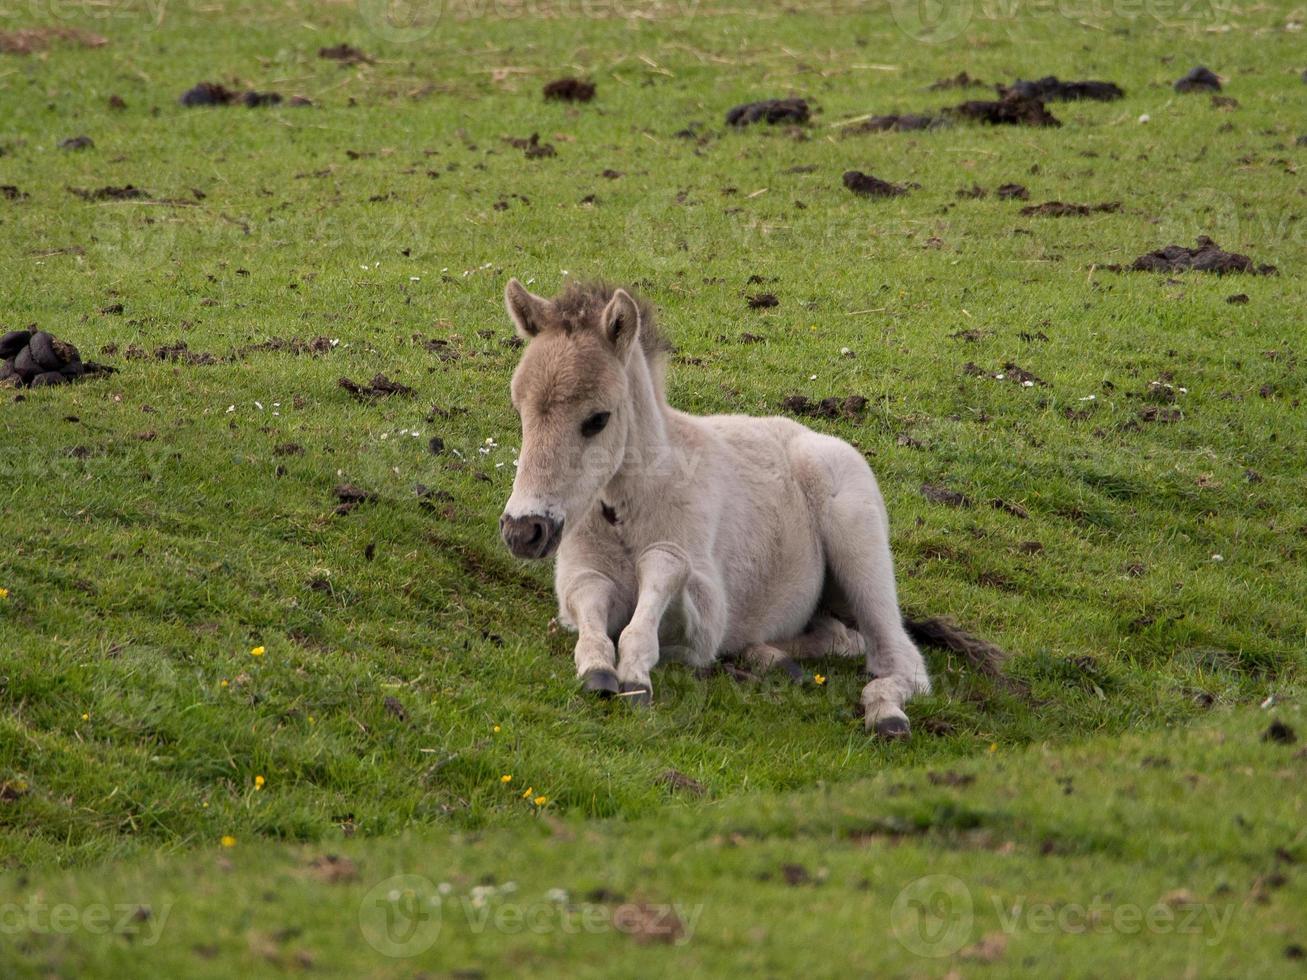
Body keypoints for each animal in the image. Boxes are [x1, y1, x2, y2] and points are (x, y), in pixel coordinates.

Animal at [494, 279, 993, 742]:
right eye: (520, 410)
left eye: (598, 419)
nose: (524, 531)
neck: (629, 510)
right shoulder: (581, 582)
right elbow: (593, 618)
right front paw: (597, 669)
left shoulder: (703, 619)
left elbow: (662, 575)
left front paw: (634, 674)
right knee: (840, 637)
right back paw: (774, 659)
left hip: (858, 541)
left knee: (899, 659)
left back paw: (886, 712)